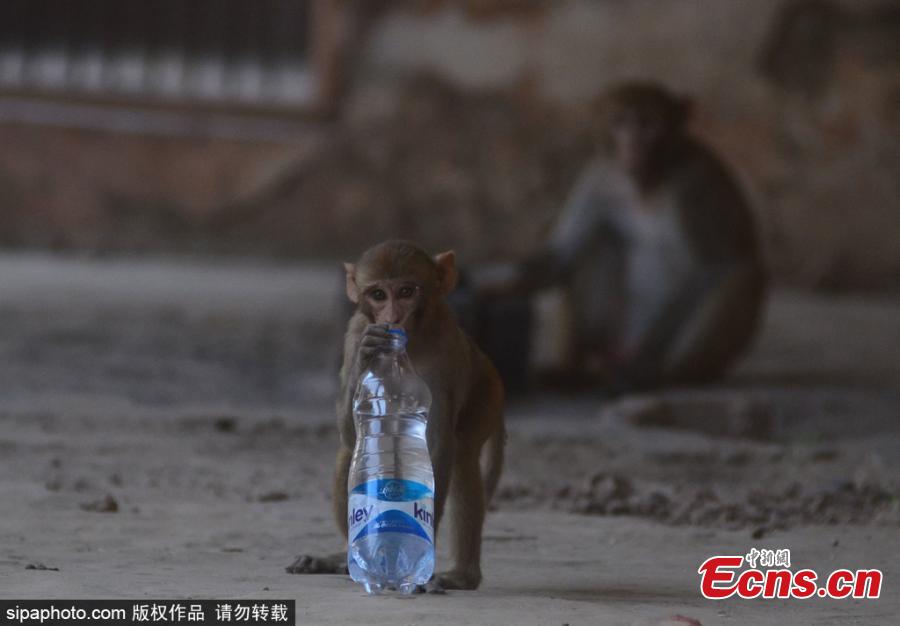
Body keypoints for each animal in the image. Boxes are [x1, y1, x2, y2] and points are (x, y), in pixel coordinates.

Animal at [288, 240, 506, 592]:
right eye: (378, 295)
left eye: (406, 291)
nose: (391, 317)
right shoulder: (354, 332)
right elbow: (351, 434)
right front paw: (369, 352)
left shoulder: (444, 352)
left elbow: (438, 444)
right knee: (349, 453)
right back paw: (343, 557)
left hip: (486, 396)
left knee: (462, 457)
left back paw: (461, 576)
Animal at [479, 81, 766, 389]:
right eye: (619, 122)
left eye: (648, 123)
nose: (633, 145)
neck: (645, 182)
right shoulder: (600, 177)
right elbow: (560, 257)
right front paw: (484, 283)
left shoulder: (697, 183)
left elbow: (714, 267)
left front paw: (644, 362)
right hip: (613, 335)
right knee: (600, 240)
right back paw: (574, 372)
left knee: (739, 275)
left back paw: (655, 376)